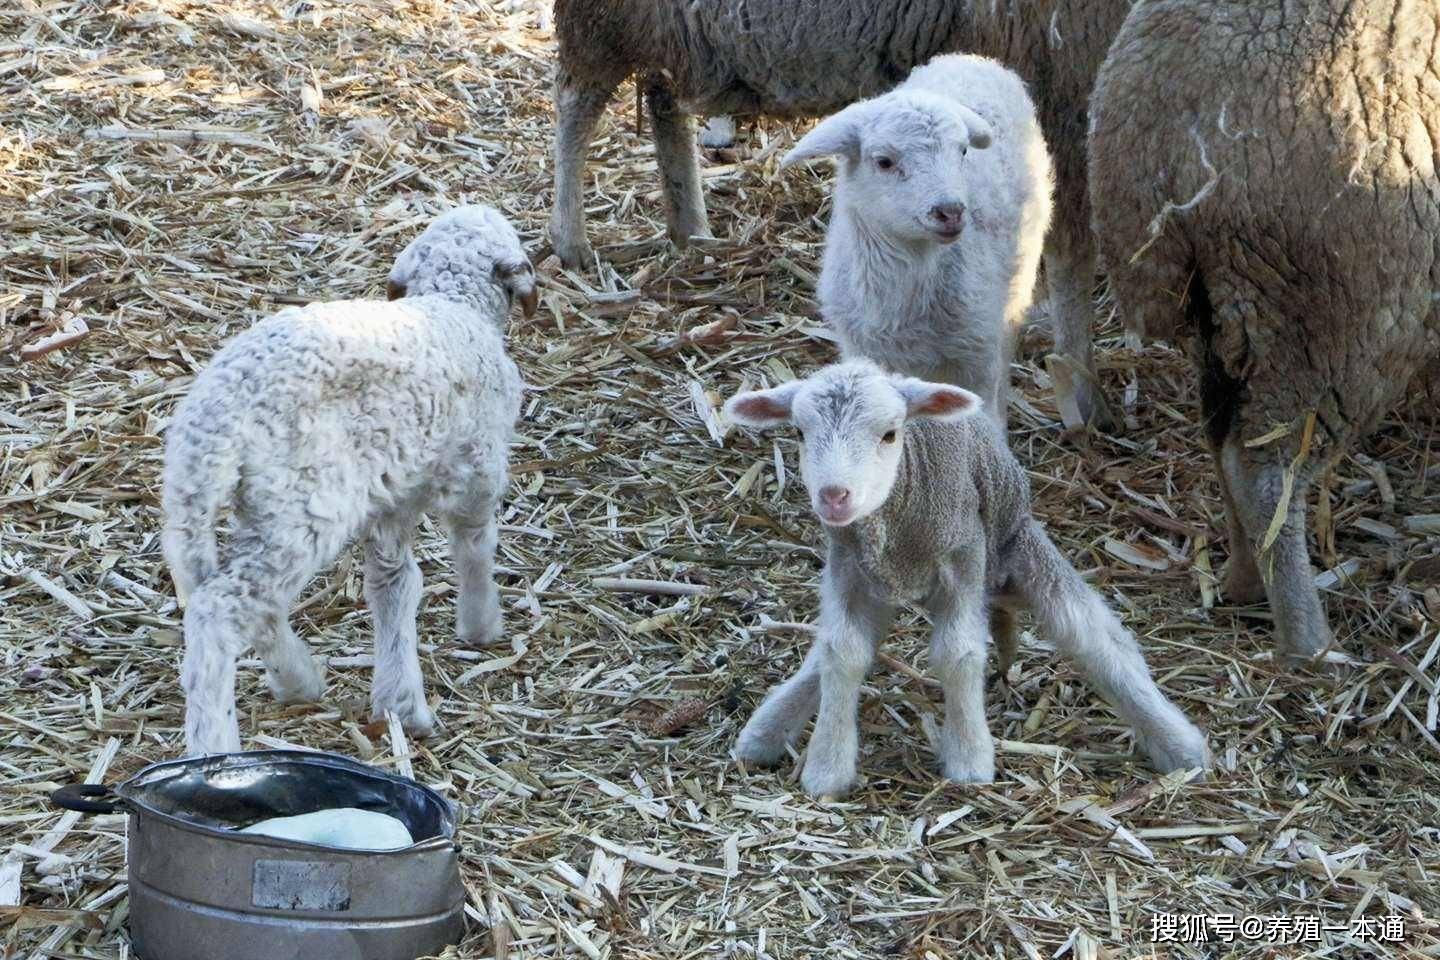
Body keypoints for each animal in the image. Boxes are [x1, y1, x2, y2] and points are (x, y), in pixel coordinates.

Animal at [163, 207, 535, 754]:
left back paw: (297, 679)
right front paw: (480, 623)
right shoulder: (478, 465)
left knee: (230, 596)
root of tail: (214, 421)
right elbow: (474, 543)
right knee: (218, 612)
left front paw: (399, 701)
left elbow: (392, 582)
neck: (453, 304)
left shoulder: (390, 491)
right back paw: (215, 747)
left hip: (220, 509)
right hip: (304, 504)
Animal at [725, 359, 1209, 794]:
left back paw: (1178, 743)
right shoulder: (848, 567)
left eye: (890, 433)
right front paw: (827, 768)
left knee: (1094, 635)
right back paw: (768, 728)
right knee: (830, 653)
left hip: (1015, 544)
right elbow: (841, 652)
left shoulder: (965, 556)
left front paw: (969, 759)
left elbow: (959, 653)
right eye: (799, 433)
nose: (834, 496)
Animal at [783, 54, 1054, 437]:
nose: (951, 212)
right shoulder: (866, 349)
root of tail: (972, 59)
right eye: (883, 161)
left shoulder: (976, 354)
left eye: (963, 151)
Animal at [1088, 0, 1440, 656]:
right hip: (1325, 320)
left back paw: (1245, 584)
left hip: (1225, 314)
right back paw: (1311, 645)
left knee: (1225, 443)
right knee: (1265, 474)